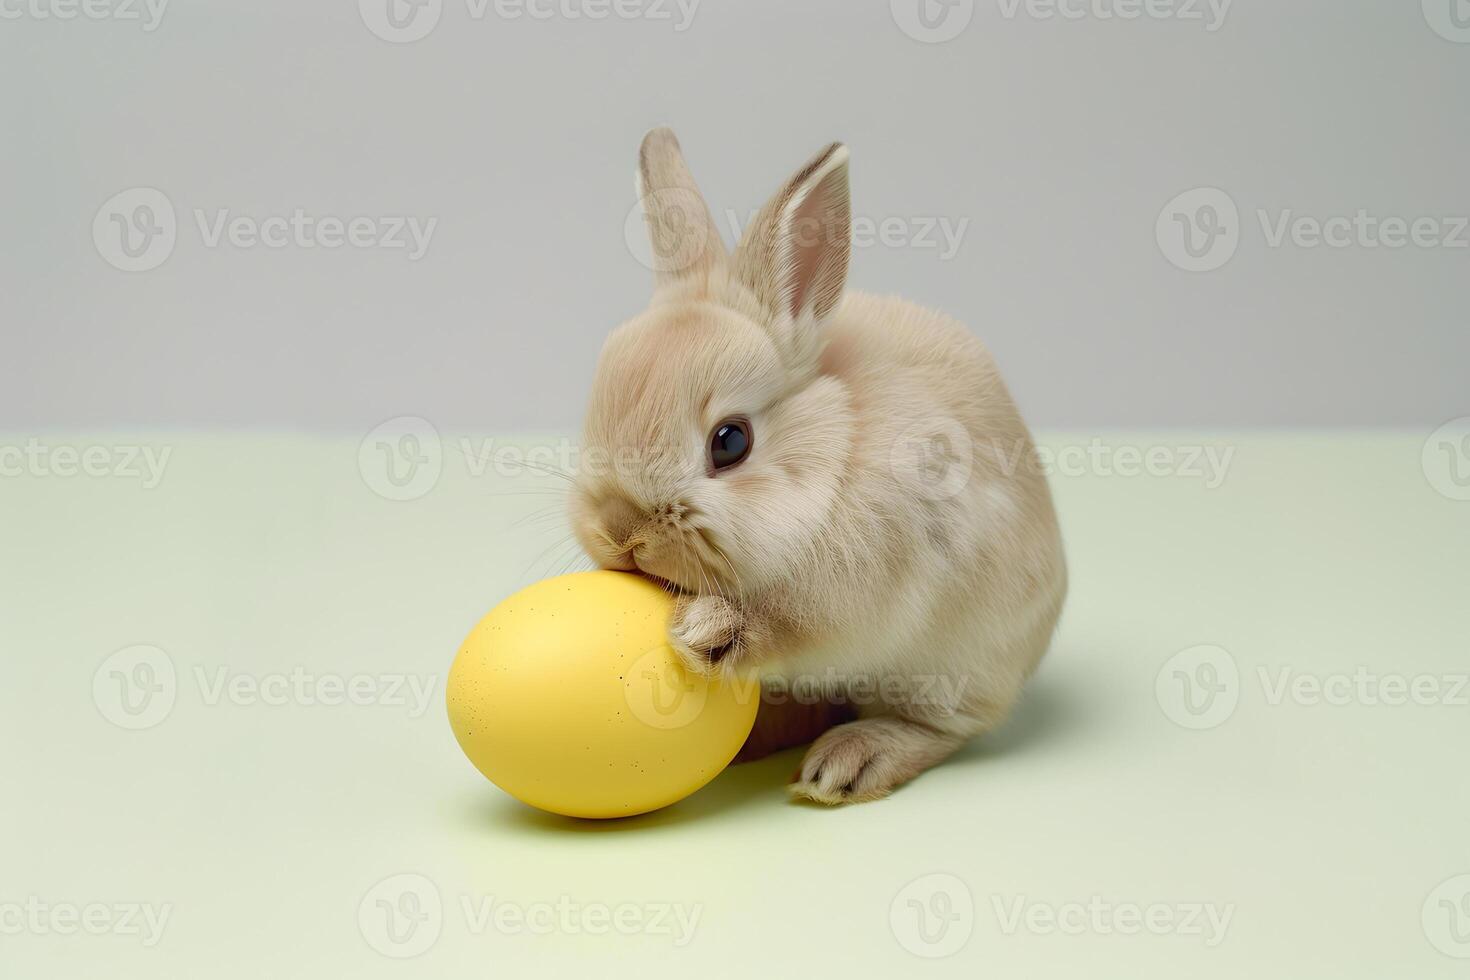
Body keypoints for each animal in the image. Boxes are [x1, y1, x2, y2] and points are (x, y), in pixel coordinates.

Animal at [567, 128, 1064, 805]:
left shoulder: (848, 589)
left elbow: (784, 623)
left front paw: (705, 631)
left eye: (730, 442)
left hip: (956, 665)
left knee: (941, 727)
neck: (827, 459)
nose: (622, 533)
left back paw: (848, 764)